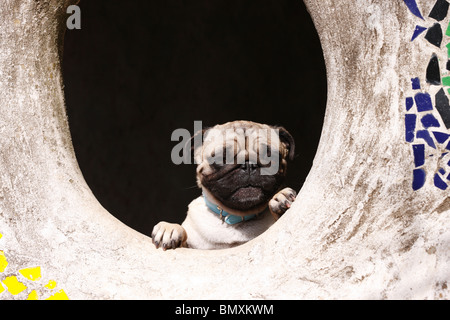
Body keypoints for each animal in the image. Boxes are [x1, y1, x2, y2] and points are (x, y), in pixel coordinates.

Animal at [153, 120, 298, 250]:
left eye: (270, 157)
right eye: (221, 158)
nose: (249, 165)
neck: (235, 217)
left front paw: (280, 198)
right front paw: (169, 227)